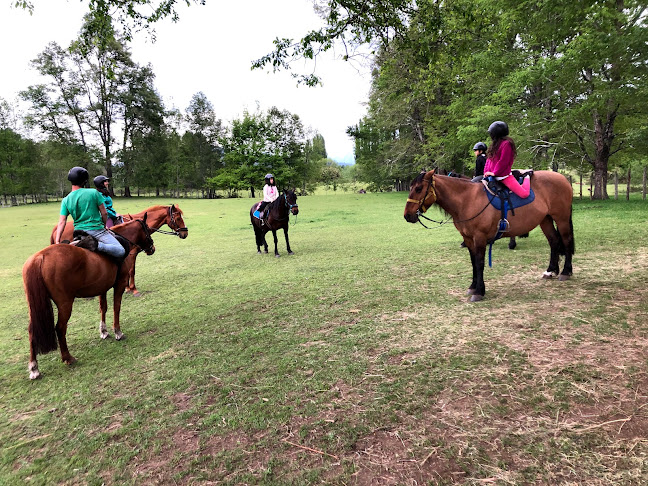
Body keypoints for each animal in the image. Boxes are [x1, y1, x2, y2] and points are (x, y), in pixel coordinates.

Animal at [23, 216, 156, 380]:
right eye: (147, 229)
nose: (152, 248)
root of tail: (39, 257)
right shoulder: (119, 284)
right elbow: (116, 307)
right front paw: (117, 332)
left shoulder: (102, 287)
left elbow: (103, 308)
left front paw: (104, 331)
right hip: (65, 303)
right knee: (60, 328)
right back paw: (68, 358)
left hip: (35, 305)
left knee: (32, 331)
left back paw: (34, 368)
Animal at [50, 204, 187, 296]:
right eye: (178, 218)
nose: (185, 233)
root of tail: (57, 228)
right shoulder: (131, 254)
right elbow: (132, 270)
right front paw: (132, 288)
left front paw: (127, 287)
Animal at [402, 170, 576, 300]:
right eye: (411, 187)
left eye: (418, 189)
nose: (407, 215)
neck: (467, 200)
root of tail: (562, 178)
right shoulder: (468, 239)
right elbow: (473, 262)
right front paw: (473, 287)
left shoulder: (479, 238)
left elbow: (480, 263)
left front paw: (479, 291)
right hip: (545, 220)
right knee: (554, 242)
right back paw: (551, 271)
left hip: (561, 219)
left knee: (566, 241)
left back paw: (565, 272)